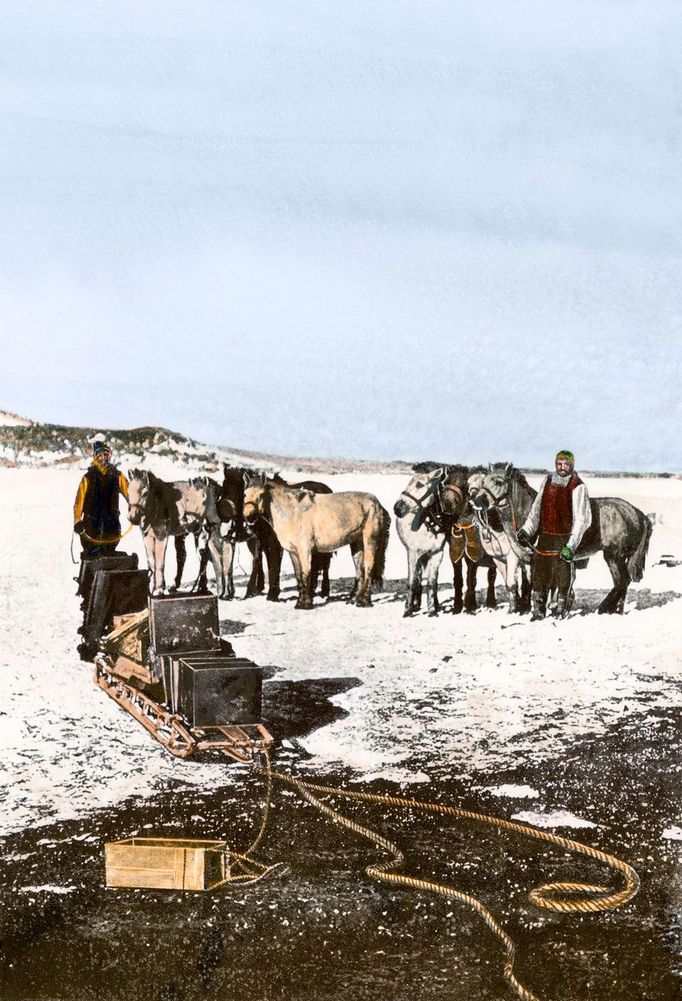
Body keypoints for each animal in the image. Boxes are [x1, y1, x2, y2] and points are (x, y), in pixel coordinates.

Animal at [125, 466, 234, 596]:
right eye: (128, 491)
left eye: (145, 493)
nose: (132, 518)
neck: (156, 504)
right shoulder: (146, 536)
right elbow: (151, 561)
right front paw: (152, 587)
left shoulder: (162, 536)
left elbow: (159, 561)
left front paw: (158, 589)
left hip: (204, 530)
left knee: (210, 553)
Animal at [218, 462, 332, 596]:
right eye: (223, 489)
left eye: (239, 492)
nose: (223, 514)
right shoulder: (262, 539)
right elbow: (266, 561)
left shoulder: (271, 541)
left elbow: (270, 561)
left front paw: (270, 592)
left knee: (325, 563)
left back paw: (324, 589)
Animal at [242, 478, 388, 608]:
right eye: (245, 494)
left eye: (261, 494)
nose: (248, 516)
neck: (292, 511)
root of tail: (378, 504)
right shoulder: (293, 552)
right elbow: (298, 576)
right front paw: (301, 601)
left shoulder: (305, 549)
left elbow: (306, 573)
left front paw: (305, 603)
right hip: (357, 543)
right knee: (360, 569)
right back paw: (355, 599)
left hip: (369, 540)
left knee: (368, 567)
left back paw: (364, 602)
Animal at [468, 464, 648, 612]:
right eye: (484, 482)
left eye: (499, 482)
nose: (476, 501)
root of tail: (637, 513)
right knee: (622, 583)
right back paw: (616, 609)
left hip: (614, 556)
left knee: (622, 581)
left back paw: (606, 607)